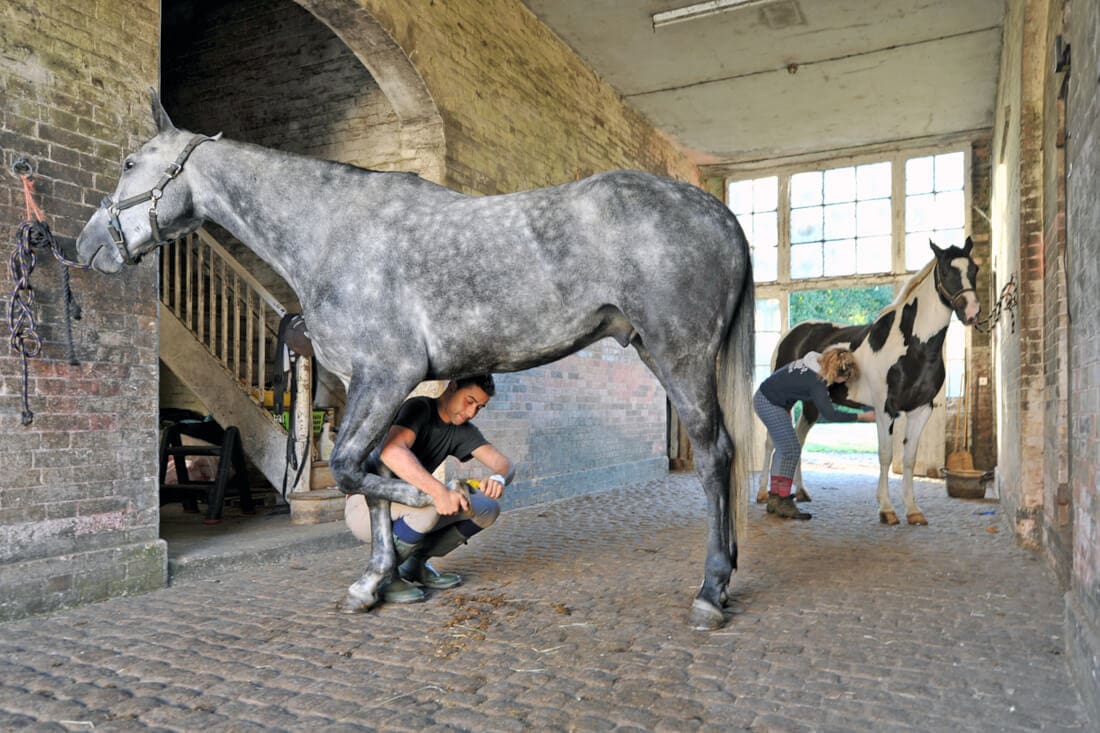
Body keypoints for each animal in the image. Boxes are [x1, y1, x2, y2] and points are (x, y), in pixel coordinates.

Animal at [74, 91, 756, 630]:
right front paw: (377, 581)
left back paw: (710, 590)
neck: (333, 231)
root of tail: (719, 213)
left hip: (679, 355)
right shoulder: (372, 385)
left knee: (716, 455)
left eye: (131, 163)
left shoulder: (387, 374)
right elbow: (367, 469)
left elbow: (352, 468)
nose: (87, 245)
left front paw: (429, 502)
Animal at [755, 239, 980, 525]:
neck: (913, 347)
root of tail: (794, 332)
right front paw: (886, 509)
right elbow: (886, 456)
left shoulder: (921, 410)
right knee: (771, 443)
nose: (972, 311)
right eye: (945, 270)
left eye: (974, 269)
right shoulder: (886, 410)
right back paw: (763, 493)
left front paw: (913, 510)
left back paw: (802, 492)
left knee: (798, 439)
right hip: (786, 401)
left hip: (811, 405)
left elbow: (909, 459)